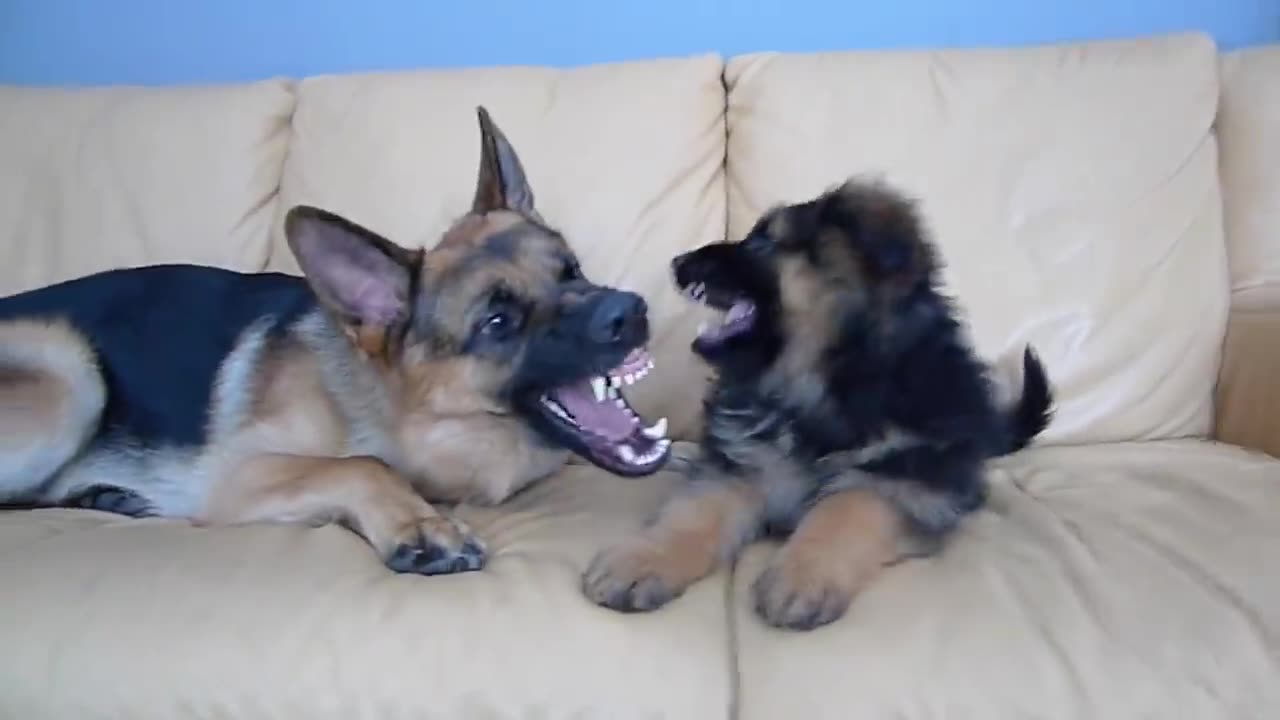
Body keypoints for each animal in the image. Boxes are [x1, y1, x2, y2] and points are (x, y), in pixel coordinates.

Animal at [0, 106, 675, 573]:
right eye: (498, 322)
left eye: (571, 271)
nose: (632, 311)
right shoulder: (241, 474)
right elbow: (360, 466)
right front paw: (421, 525)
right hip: (69, 372)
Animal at [581, 176, 1049, 625]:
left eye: (764, 242)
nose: (677, 264)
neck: (818, 384)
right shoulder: (743, 465)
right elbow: (695, 514)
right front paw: (642, 559)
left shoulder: (909, 482)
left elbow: (847, 506)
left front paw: (802, 575)